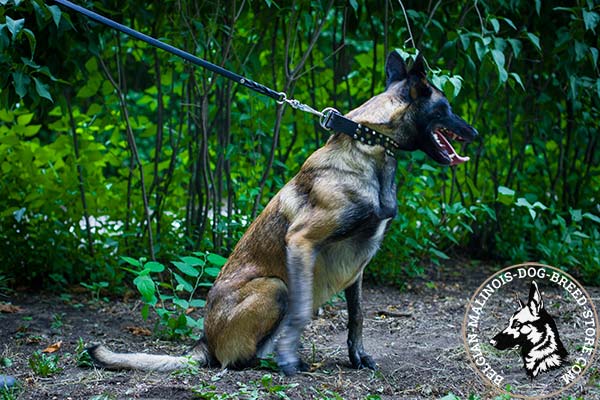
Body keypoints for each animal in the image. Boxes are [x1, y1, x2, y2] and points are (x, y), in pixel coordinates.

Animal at [88, 50, 478, 376]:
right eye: (446, 107)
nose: (475, 132)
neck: (369, 144)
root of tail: (204, 342)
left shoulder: (358, 263)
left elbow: (357, 316)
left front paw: (358, 357)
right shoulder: (302, 241)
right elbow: (304, 311)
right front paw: (290, 359)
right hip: (276, 287)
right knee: (238, 358)